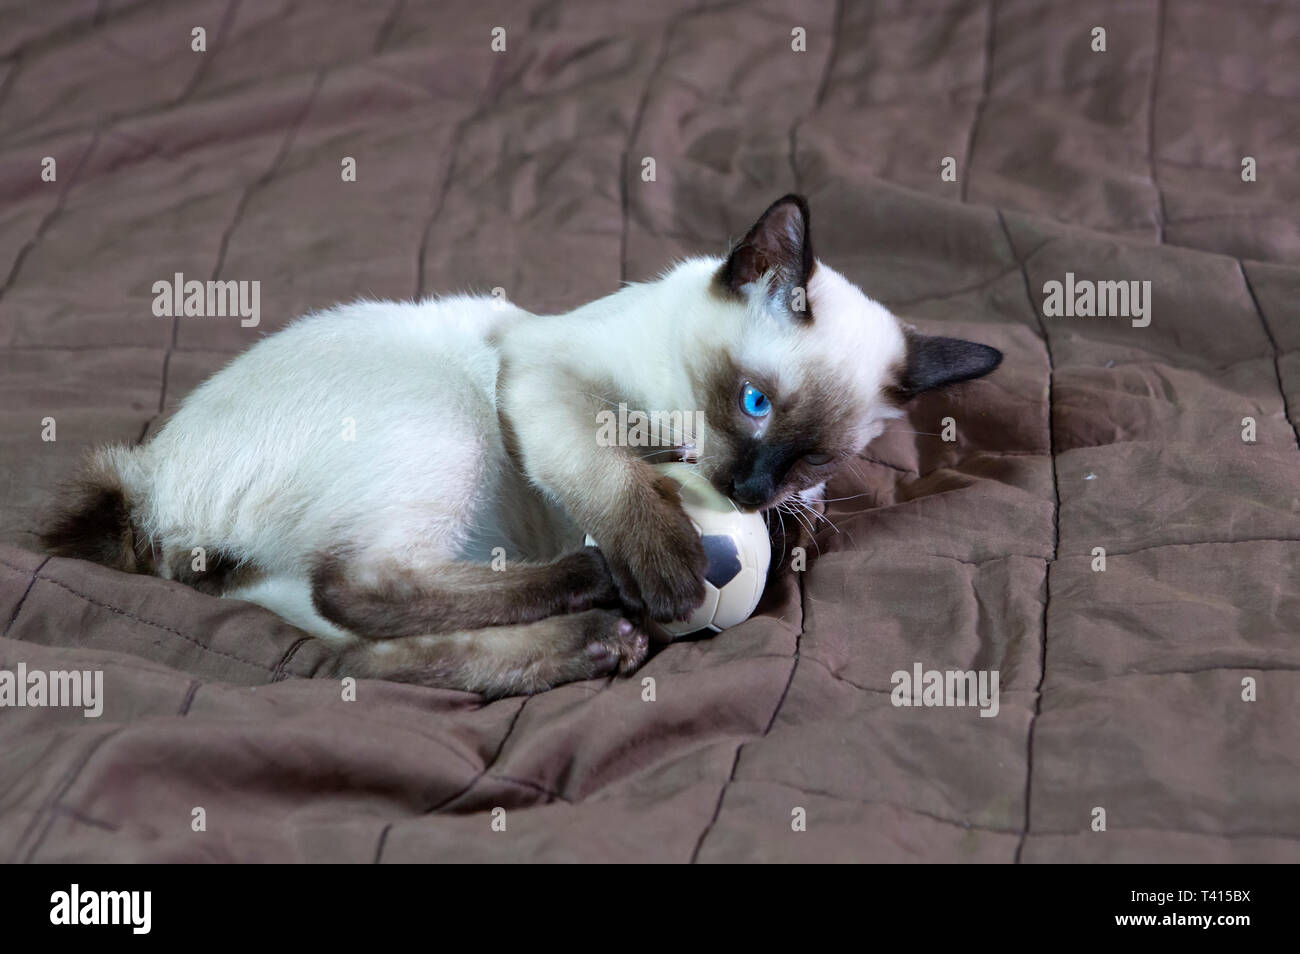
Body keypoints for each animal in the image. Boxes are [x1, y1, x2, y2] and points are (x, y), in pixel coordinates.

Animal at [38, 196, 993, 701]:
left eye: (816, 458)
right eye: (753, 402)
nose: (752, 491)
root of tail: (150, 475)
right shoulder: (544, 378)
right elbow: (607, 475)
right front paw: (672, 569)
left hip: (282, 574)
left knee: (348, 647)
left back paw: (600, 642)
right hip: (450, 416)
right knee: (360, 590)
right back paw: (602, 589)